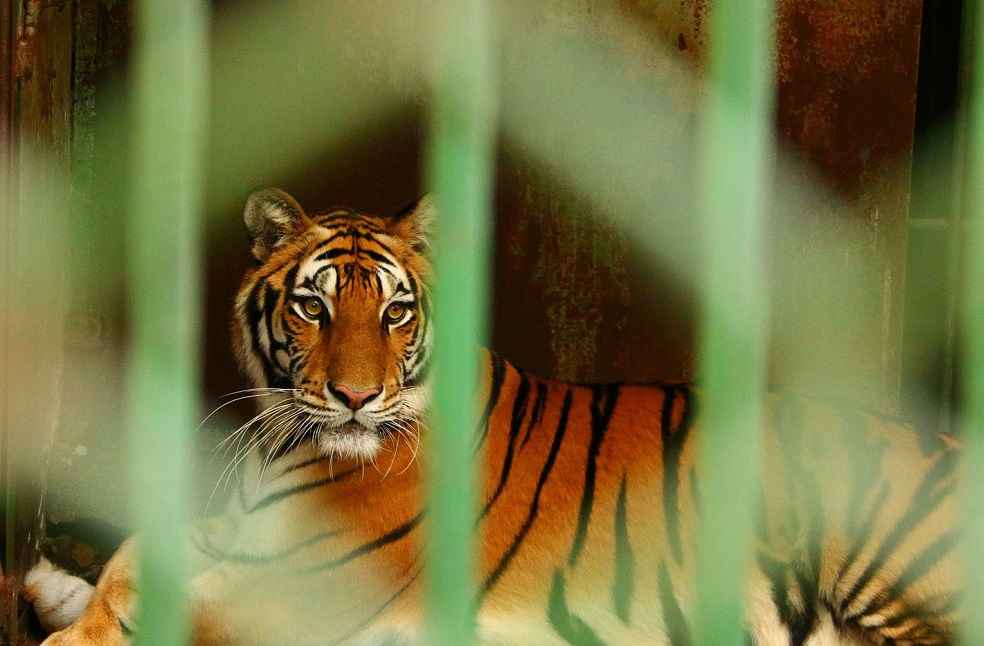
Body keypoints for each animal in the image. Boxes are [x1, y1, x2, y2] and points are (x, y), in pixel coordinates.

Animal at [25, 187, 961, 645]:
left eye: (395, 312)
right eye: (313, 308)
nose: (355, 398)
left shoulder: (293, 589)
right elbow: (130, 563)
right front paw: (60, 588)